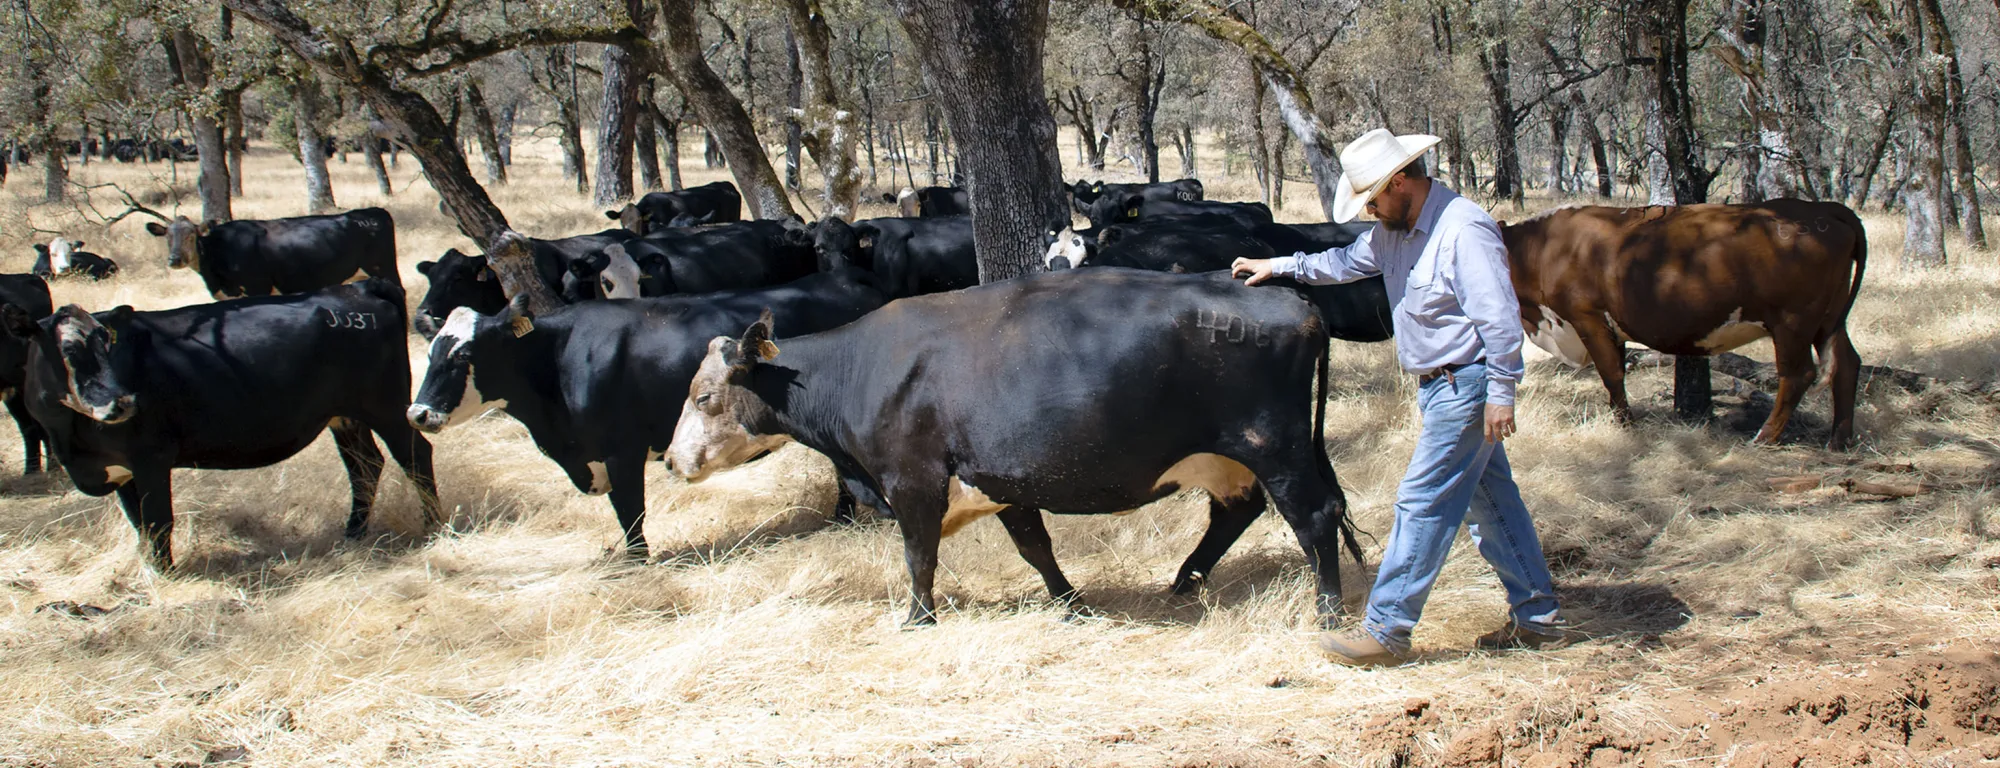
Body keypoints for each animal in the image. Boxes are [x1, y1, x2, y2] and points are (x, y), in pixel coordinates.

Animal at [144, 208, 398, 300]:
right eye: (168, 236)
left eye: (190, 235)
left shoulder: (257, 288)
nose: (174, 259)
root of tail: (372, 211)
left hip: (383, 269)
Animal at [405, 267, 889, 557]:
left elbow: (629, 510)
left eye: (465, 354)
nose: (418, 413)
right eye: (431, 353)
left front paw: (639, 561)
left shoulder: (622, 451)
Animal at [665, 269, 1363, 626]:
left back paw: (1328, 611)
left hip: (1275, 446)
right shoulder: (1003, 482)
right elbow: (1036, 549)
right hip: (1231, 458)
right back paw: (1183, 582)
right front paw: (1070, 603)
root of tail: (1282, 294)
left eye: (703, 396)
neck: (859, 369)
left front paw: (917, 618)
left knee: (1314, 516)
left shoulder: (913, 481)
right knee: (1236, 513)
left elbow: (919, 555)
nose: (671, 460)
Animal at [1500, 200, 1868, 449]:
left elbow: (1611, 373)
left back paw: (1765, 437)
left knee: (1798, 374)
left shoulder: (1586, 317)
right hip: (1829, 320)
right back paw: (1840, 440)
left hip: (1793, 322)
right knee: (1847, 364)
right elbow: (1618, 372)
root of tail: (1822, 208)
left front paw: (1626, 426)